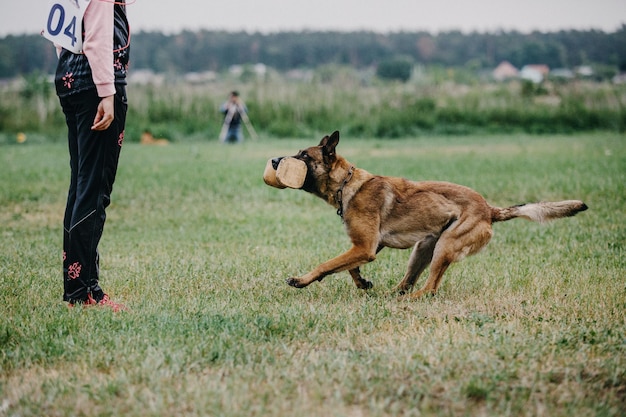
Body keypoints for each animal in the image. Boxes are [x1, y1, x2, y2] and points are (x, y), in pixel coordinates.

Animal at [270, 132, 588, 298]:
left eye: (303, 156)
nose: (273, 160)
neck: (347, 184)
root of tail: (489, 209)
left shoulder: (365, 246)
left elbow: (327, 264)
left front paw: (302, 280)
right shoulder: (369, 245)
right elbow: (348, 267)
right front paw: (362, 282)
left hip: (445, 247)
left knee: (431, 287)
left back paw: (412, 299)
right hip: (423, 248)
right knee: (408, 281)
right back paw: (393, 295)